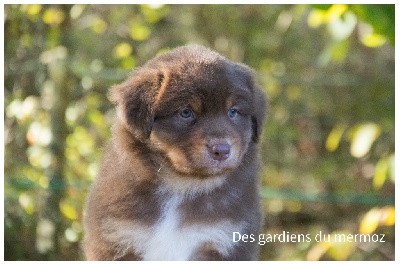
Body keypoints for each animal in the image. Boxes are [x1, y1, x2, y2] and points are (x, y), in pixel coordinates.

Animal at [83, 45, 268, 260]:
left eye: (233, 112)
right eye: (186, 112)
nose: (222, 150)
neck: (181, 187)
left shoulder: (227, 240)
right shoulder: (116, 239)